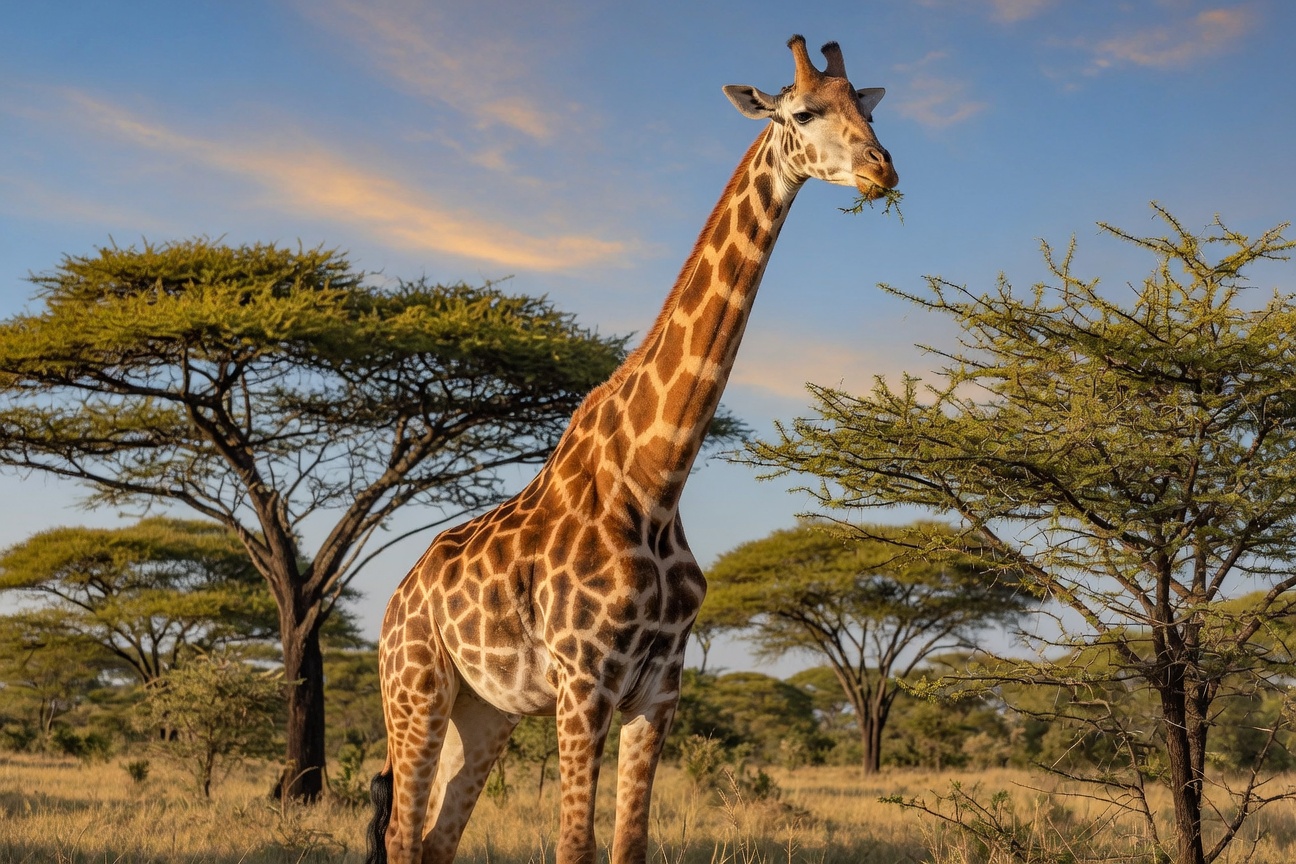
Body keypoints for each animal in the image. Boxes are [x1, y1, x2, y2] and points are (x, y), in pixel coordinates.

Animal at [366, 35, 898, 864]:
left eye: (868, 110)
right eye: (805, 112)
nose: (882, 168)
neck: (654, 481)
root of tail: (396, 600)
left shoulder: (660, 686)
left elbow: (629, 844)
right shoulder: (584, 682)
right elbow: (574, 847)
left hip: (484, 710)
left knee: (433, 838)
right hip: (416, 688)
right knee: (398, 832)